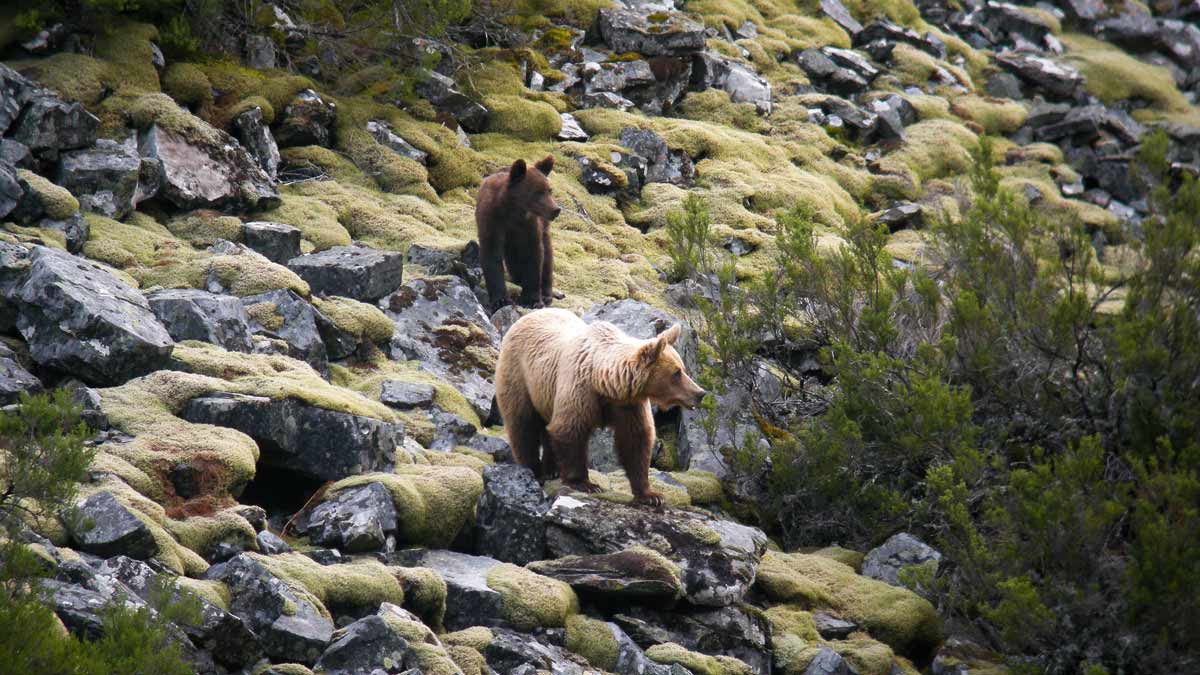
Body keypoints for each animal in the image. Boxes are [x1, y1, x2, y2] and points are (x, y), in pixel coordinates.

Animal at [475, 154, 559, 309]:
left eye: (549, 190)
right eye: (537, 192)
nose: (556, 210)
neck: (513, 211)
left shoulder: (529, 226)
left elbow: (534, 257)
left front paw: (532, 299)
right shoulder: (493, 222)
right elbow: (491, 255)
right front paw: (501, 300)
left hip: (542, 227)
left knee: (547, 254)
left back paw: (546, 293)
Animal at [494, 307, 700, 502]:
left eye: (683, 368)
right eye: (676, 373)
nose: (700, 393)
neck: (605, 383)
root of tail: (528, 315)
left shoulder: (628, 404)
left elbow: (636, 439)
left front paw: (651, 495)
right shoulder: (580, 390)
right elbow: (569, 430)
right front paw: (585, 483)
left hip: (545, 394)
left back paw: (551, 469)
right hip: (520, 375)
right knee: (523, 424)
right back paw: (532, 469)